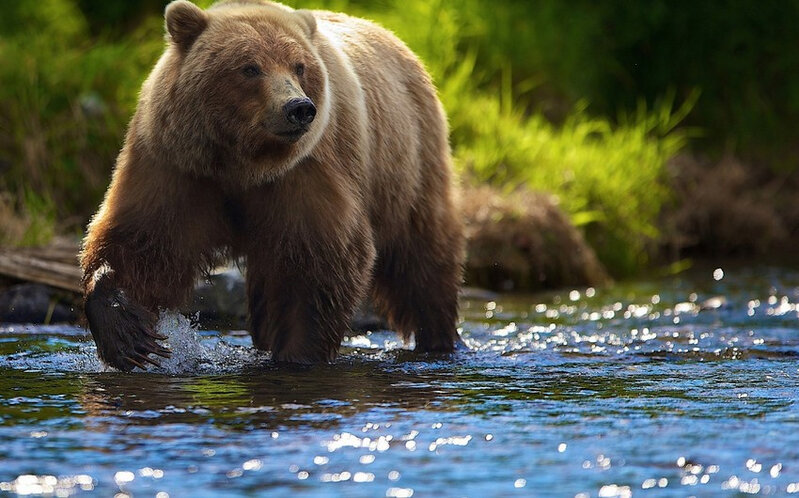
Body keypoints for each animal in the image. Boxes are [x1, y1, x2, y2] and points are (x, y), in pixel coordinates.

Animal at [78, 0, 466, 370]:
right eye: (250, 67)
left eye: (299, 66)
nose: (299, 108)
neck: (241, 163)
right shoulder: (178, 165)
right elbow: (143, 240)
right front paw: (128, 333)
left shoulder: (303, 172)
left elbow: (317, 264)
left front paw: (298, 354)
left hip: (408, 164)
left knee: (422, 257)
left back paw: (439, 338)